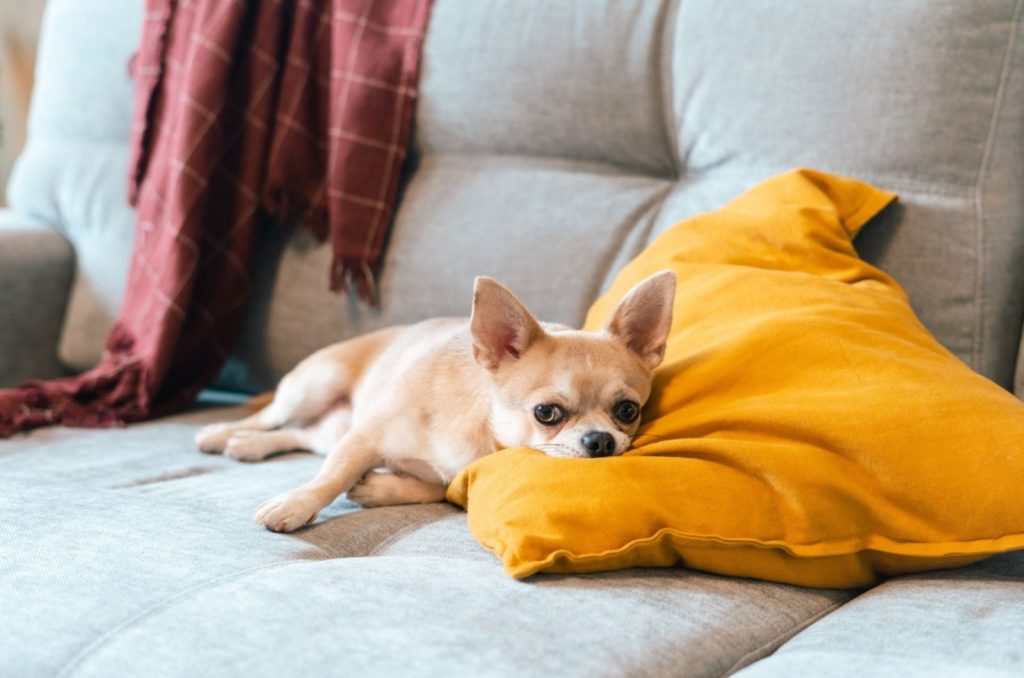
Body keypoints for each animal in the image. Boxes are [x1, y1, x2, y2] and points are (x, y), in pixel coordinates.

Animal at [195, 270, 675, 532]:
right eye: (546, 413)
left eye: (627, 411)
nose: (600, 441)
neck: (483, 430)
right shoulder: (366, 437)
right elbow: (330, 477)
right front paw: (295, 505)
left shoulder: (427, 468)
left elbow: (432, 487)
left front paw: (381, 488)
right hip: (313, 385)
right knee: (269, 417)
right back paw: (221, 434)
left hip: (330, 425)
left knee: (300, 435)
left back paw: (248, 447)